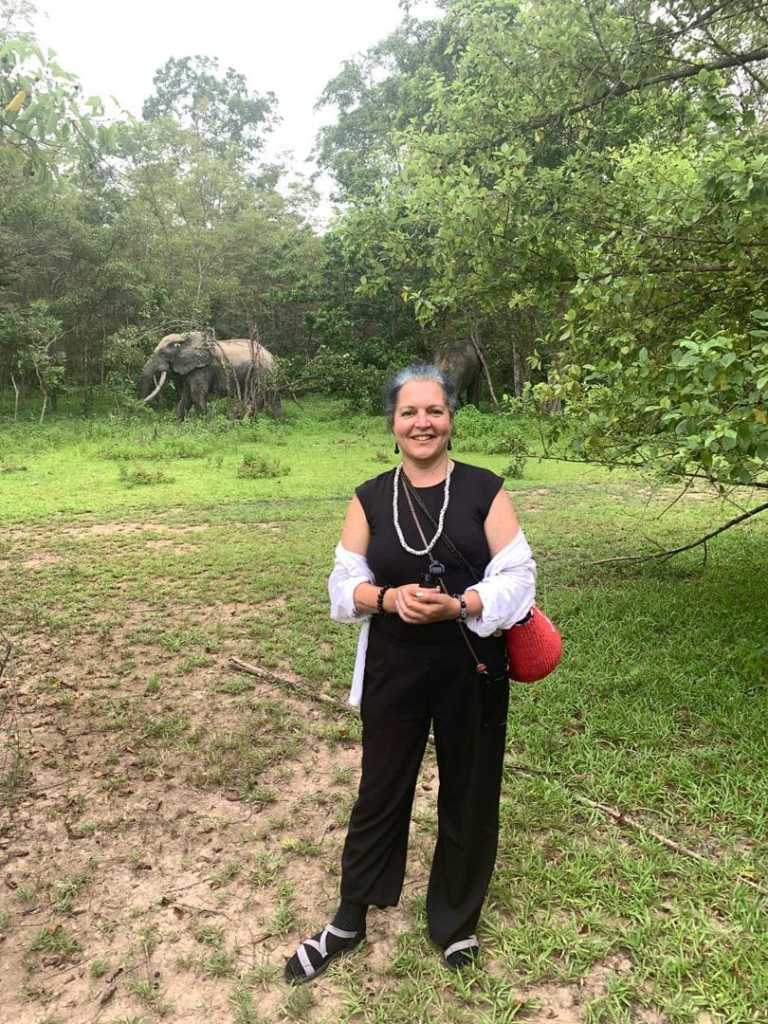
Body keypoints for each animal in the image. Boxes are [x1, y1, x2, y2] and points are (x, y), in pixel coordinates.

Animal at [137, 331, 280, 420]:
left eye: (162, 353)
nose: (139, 405)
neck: (184, 340)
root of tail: (272, 357)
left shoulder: (203, 368)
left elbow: (196, 395)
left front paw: (204, 425)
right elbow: (186, 397)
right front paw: (178, 427)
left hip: (261, 372)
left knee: (258, 397)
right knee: (272, 397)